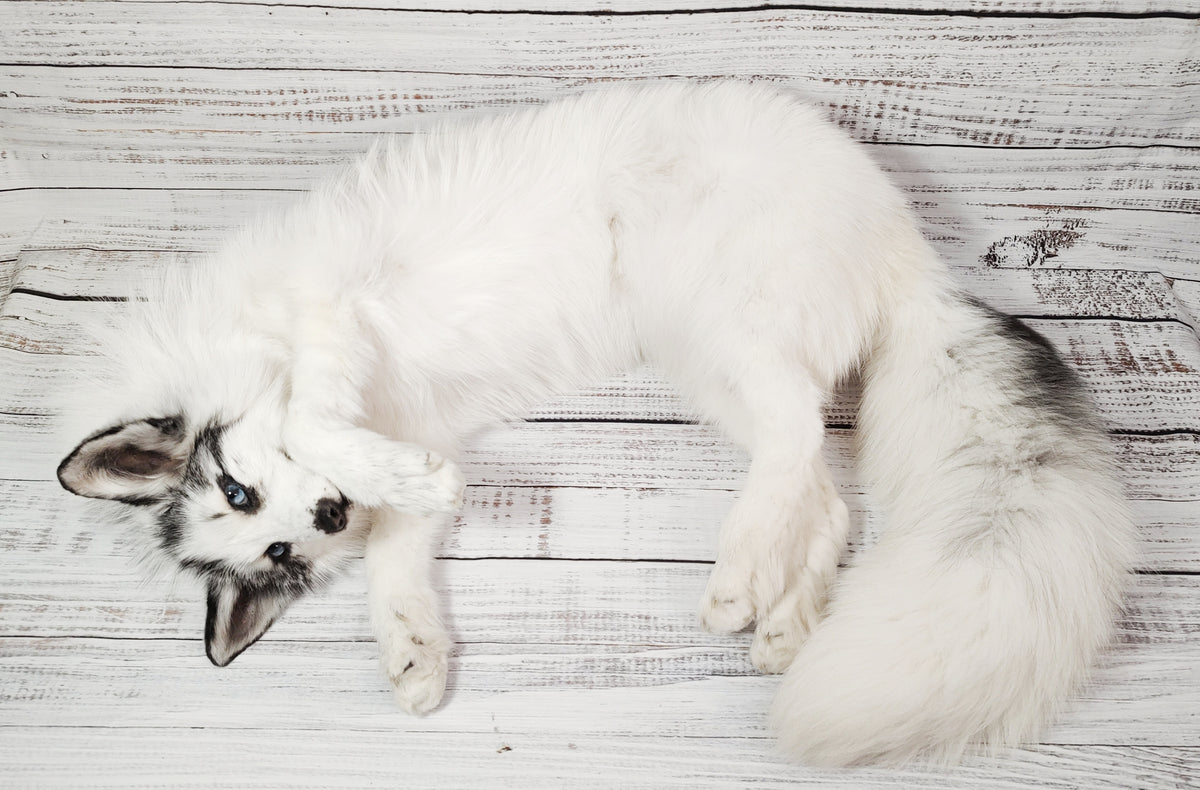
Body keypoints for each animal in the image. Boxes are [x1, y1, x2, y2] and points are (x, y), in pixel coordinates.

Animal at [56, 80, 1135, 766]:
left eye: (242, 490)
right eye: (275, 549)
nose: (324, 519)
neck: (240, 343)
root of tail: (905, 249)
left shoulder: (329, 324)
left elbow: (323, 423)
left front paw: (393, 480)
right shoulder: (414, 431)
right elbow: (401, 560)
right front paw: (414, 656)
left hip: (711, 308)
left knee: (798, 439)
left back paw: (739, 578)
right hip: (709, 362)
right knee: (821, 492)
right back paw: (783, 616)